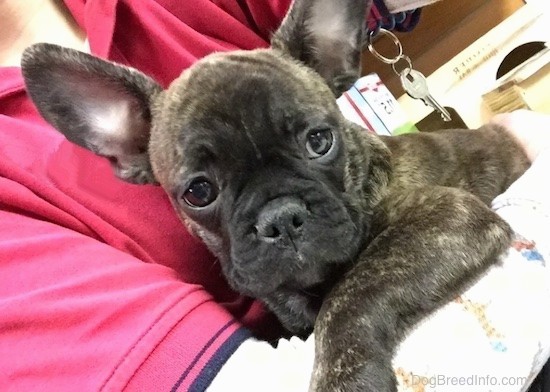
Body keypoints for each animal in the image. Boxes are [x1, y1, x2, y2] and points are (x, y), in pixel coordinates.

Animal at [20, 0, 532, 392]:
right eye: (199, 191)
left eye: (319, 141)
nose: (281, 217)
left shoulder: (448, 218)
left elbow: (351, 292)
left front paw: (345, 379)